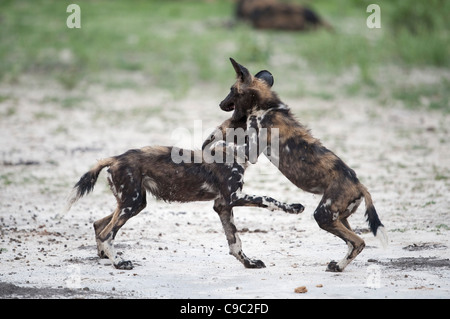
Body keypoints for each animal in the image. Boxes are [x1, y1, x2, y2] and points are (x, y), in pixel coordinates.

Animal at [67, 144, 304, 272]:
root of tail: (115, 158)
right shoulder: (234, 198)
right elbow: (268, 199)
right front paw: (294, 207)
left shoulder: (223, 205)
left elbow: (235, 242)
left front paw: (249, 263)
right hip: (131, 204)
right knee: (107, 233)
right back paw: (119, 263)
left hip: (133, 203)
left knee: (99, 224)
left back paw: (106, 256)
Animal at [206, 58, 388, 272]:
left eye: (231, 90)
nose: (220, 104)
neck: (265, 107)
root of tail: (360, 185)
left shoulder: (251, 151)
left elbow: (223, 143)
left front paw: (213, 144)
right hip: (338, 217)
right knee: (354, 242)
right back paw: (337, 265)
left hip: (323, 215)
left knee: (359, 241)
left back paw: (338, 266)